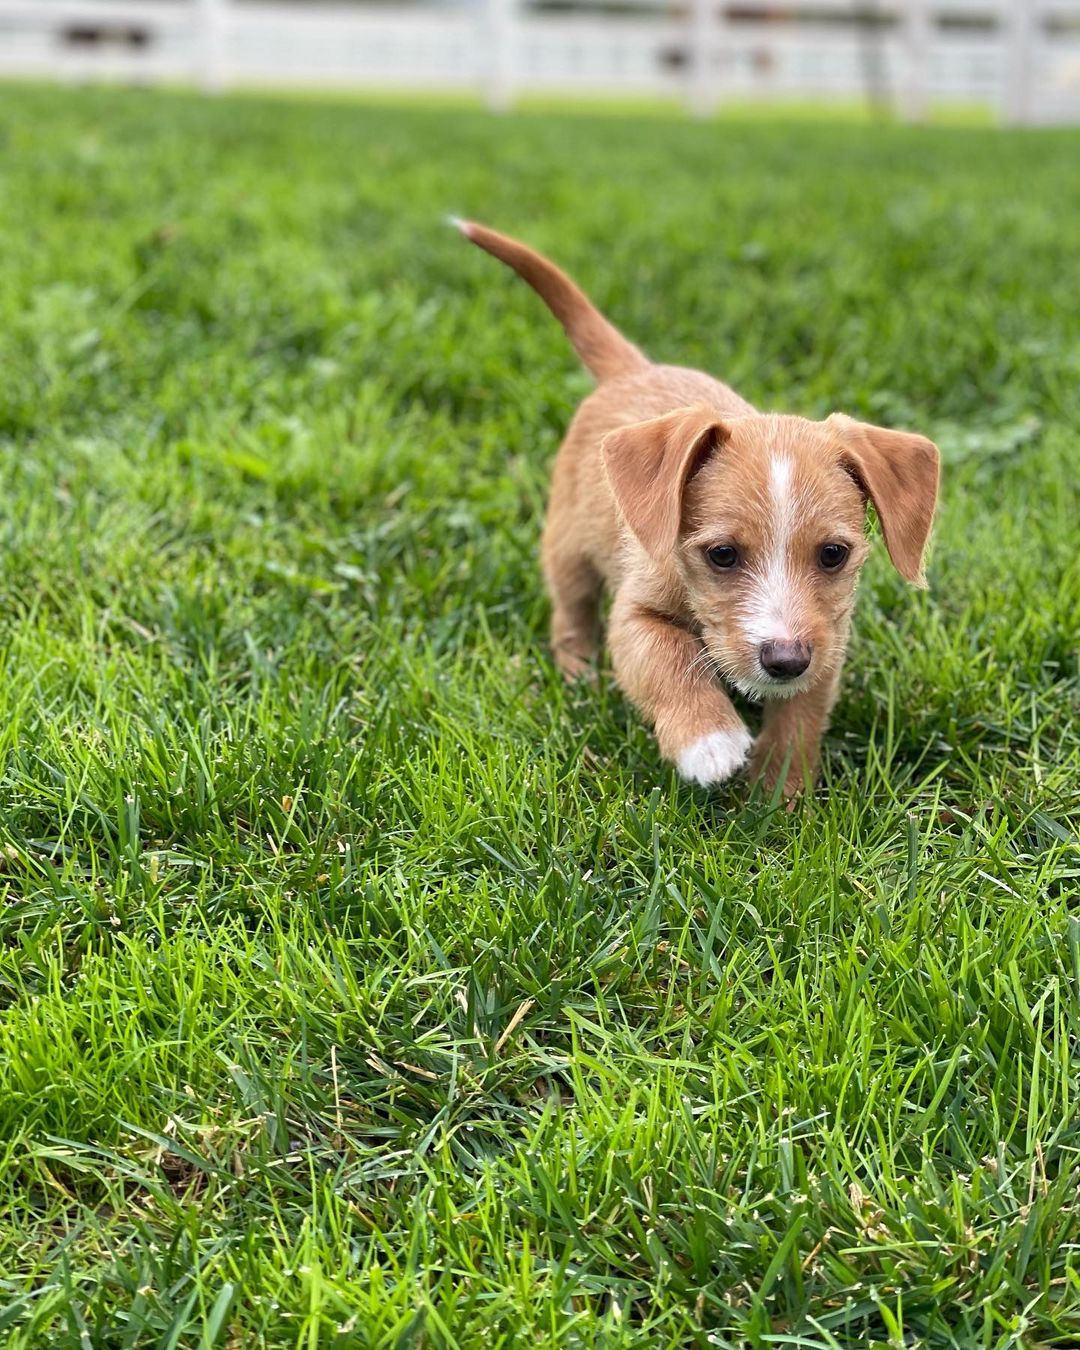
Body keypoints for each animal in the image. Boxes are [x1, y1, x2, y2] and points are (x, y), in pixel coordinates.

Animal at [450, 217, 939, 793]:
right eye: (722, 555)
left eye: (833, 554)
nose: (785, 660)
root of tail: (633, 370)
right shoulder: (632, 619)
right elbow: (670, 657)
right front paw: (708, 739)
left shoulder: (828, 641)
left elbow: (801, 715)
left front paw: (780, 790)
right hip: (567, 548)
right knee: (570, 616)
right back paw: (579, 680)